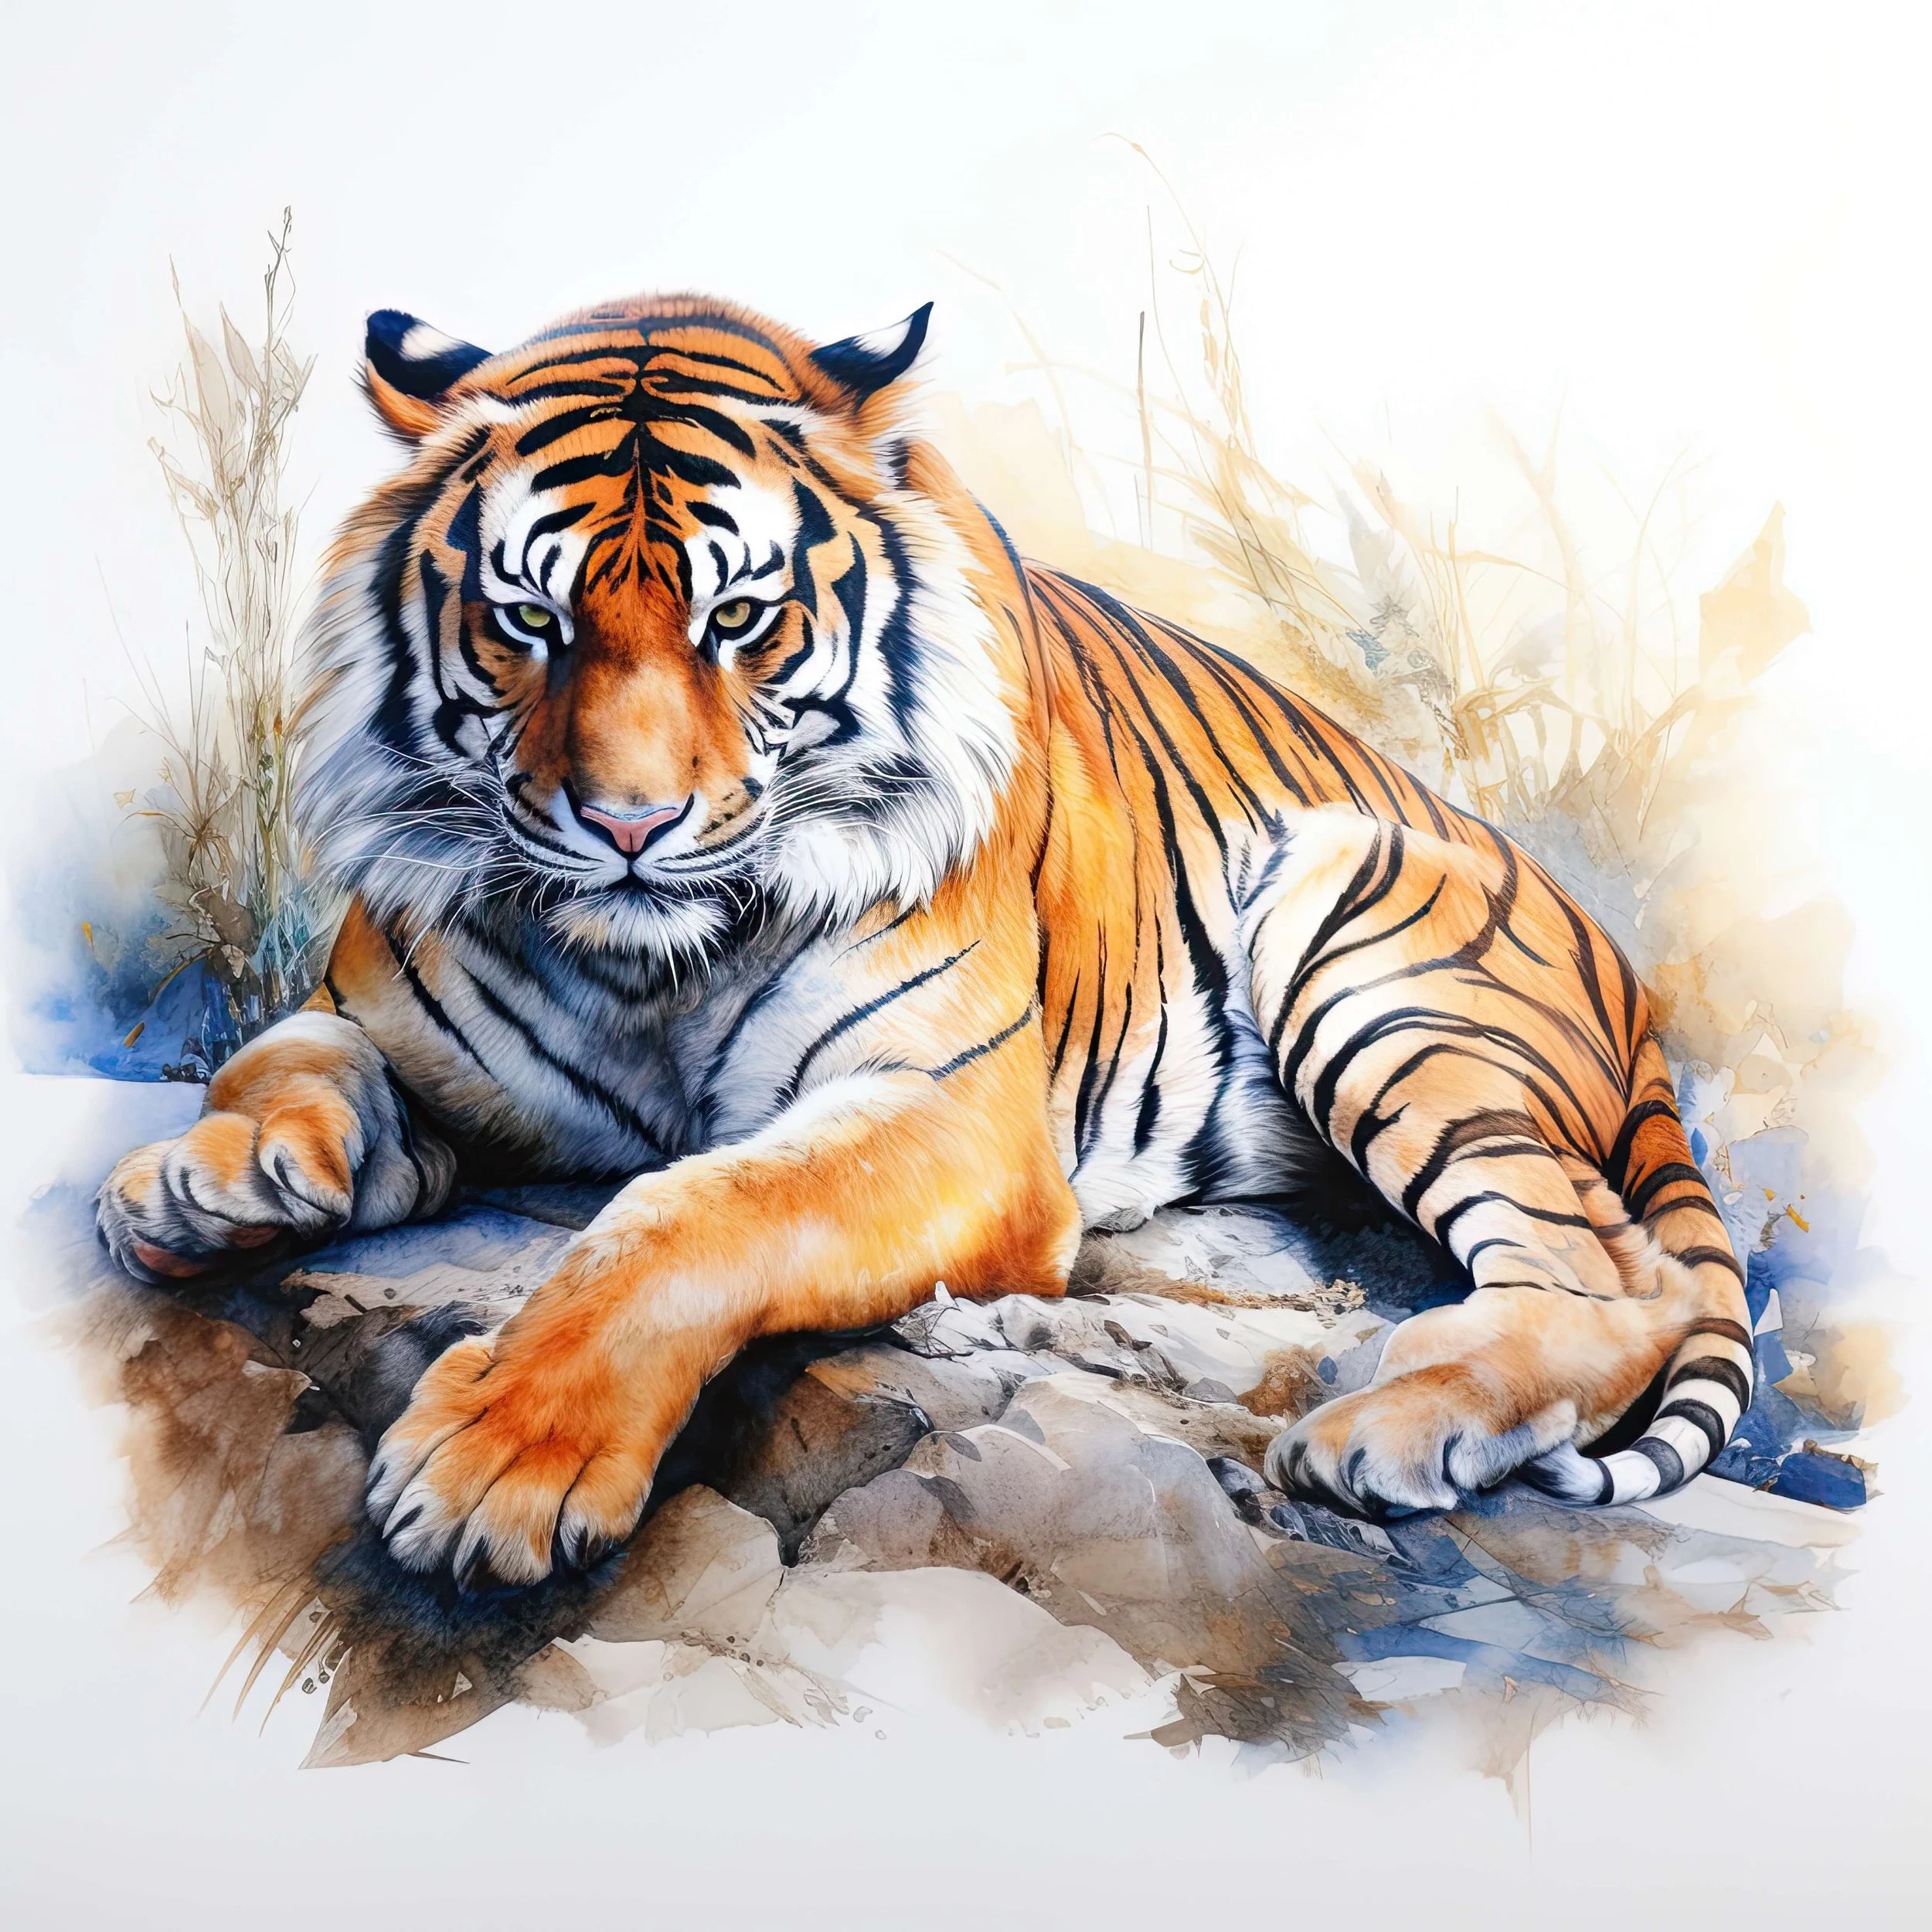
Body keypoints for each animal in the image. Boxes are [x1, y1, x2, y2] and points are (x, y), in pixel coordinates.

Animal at [95, 291, 1755, 1592]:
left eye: (740, 619)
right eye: (531, 622)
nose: (629, 824)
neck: (644, 967)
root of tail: (1626, 974)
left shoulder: (950, 1110)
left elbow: (687, 1214)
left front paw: (497, 1467)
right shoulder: (384, 1017)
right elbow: (280, 1058)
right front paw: (206, 1185)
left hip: (1361, 943)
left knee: (1613, 1274)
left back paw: (1388, 1430)